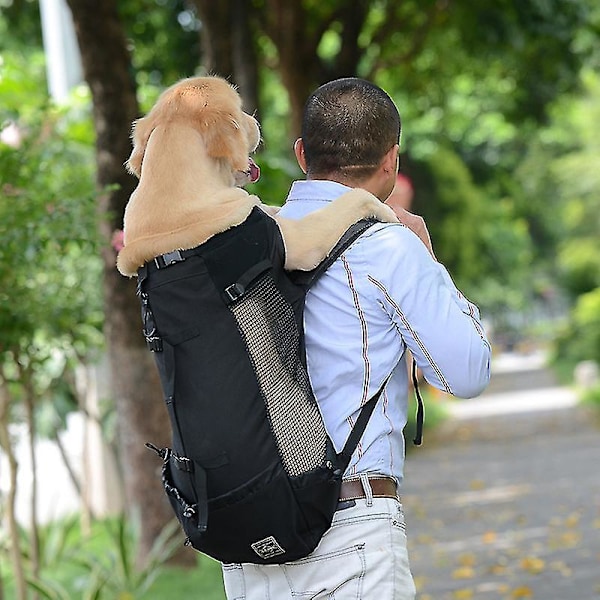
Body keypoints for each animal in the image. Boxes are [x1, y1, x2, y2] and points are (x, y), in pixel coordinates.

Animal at [117, 74, 398, 276]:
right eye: (239, 110)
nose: (255, 121)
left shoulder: (253, 207)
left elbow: (268, 207)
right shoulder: (299, 241)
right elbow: (352, 200)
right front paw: (386, 210)